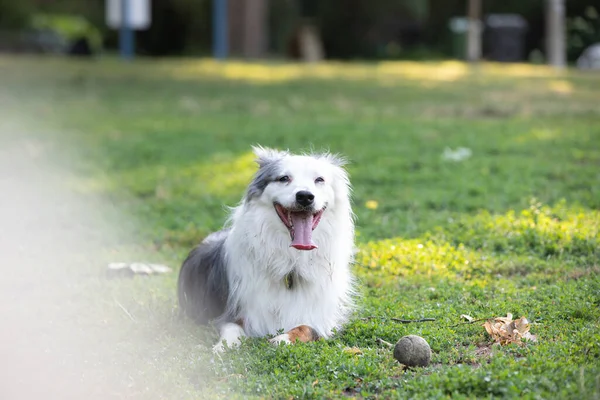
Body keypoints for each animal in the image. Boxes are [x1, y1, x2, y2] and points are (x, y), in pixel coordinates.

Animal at [178, 145, 356, 352]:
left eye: (319, 180)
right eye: (284, 178)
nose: (305, 196)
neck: (291, 259)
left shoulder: (321, 318)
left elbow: (306, 328)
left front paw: (283, 339)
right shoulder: (237, 309)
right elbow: (231, 327)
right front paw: (224, 346)